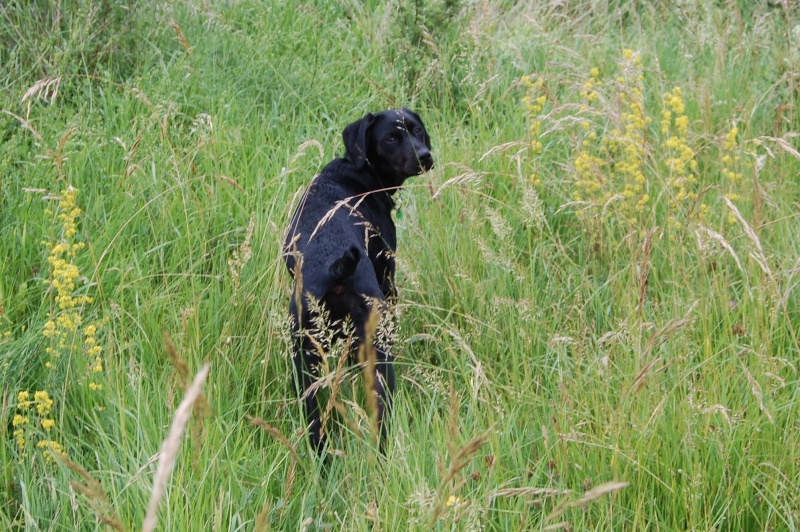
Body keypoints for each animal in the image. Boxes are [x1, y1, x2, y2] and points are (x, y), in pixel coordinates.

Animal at [282, 108, 432, 454]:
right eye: (391, 137)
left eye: (417, 130)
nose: (425, 156)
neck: (358, 172)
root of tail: (335, 268)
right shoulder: (388, 277)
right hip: (378, 352)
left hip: (305, 362)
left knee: (315, 428)